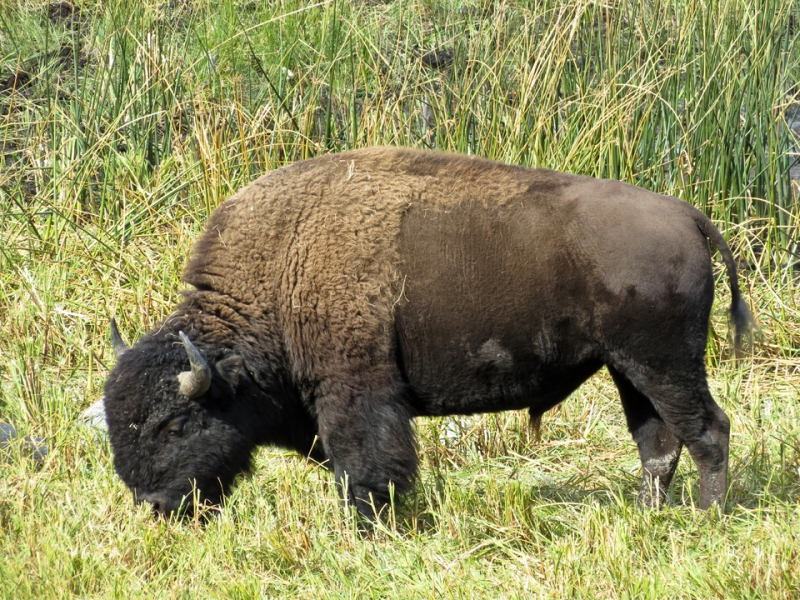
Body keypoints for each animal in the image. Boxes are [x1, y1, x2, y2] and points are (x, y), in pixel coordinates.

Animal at [103, 148, 752, 524]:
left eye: (175, 425)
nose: (152, 507)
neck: (283, 263)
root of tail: (689, 216)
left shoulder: (356, 392)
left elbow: (365, 465)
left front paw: (370, 527)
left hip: (664, 363)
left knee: (707, 430)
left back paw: (708, 519)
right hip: (629, 369)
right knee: (657, 442)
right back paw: (649, 517)